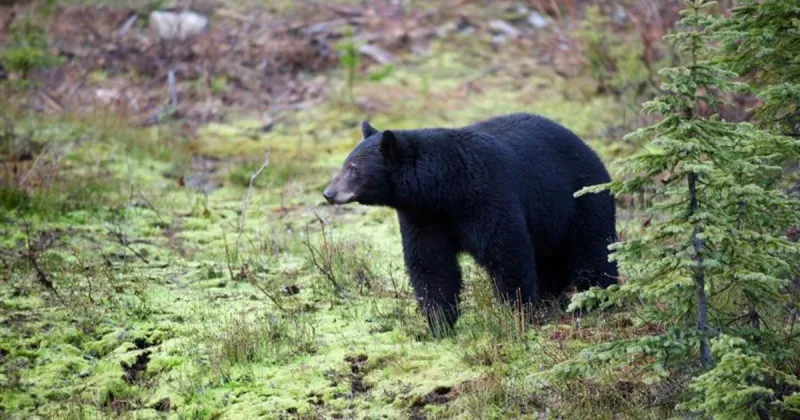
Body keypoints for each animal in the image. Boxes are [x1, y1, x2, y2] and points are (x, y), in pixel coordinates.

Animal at [322, 113, 618, 336]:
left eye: (352, 167)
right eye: (346, 163)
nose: (328, 193)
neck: (443, 188)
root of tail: (589, 149)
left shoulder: (485, 196)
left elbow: (506, 252)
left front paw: (517, 314)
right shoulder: (422, 216)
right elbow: (431, 265)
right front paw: (438, 324)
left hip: (581, 197)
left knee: (593, 249)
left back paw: (596, 298)